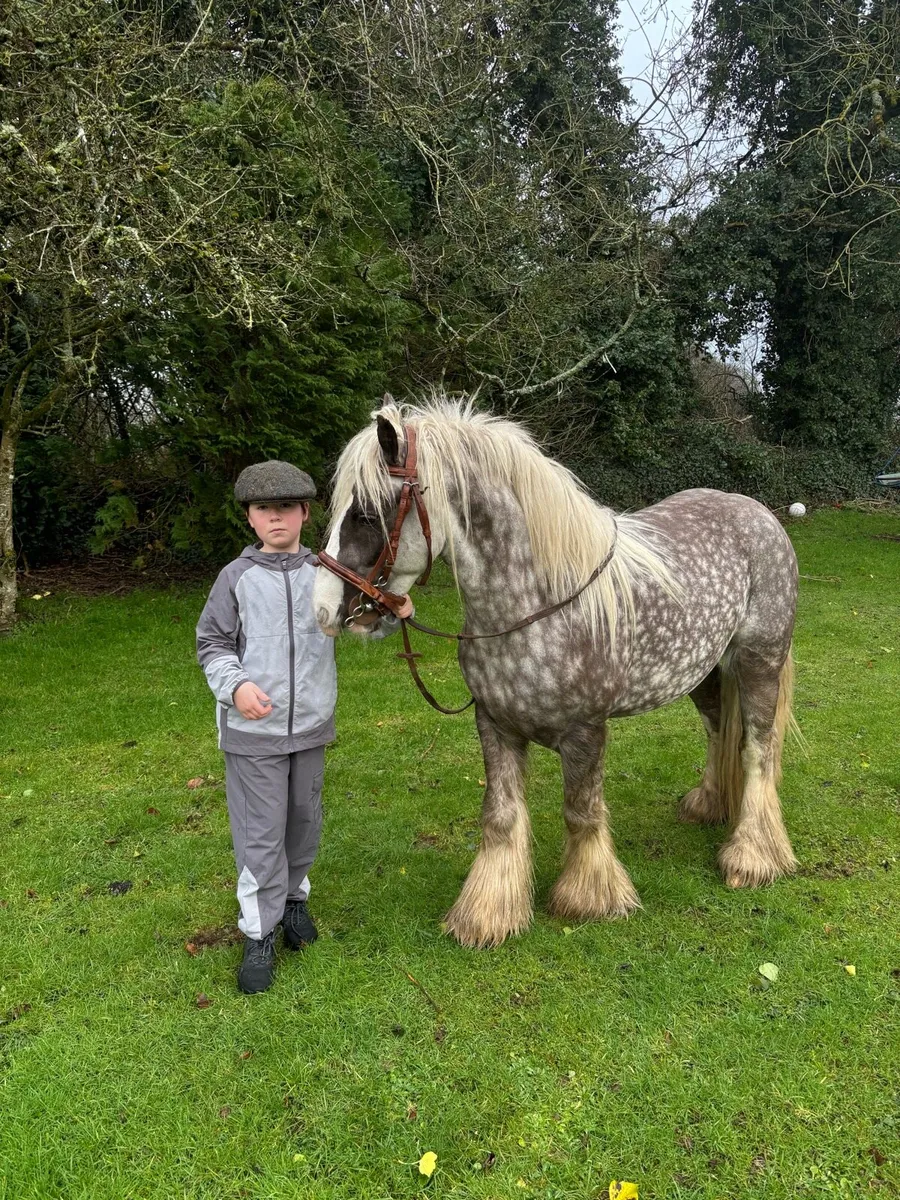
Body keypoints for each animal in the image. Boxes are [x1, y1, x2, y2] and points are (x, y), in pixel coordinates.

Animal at [312, 395, 799, 949]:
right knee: (720, 731)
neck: (535, 605)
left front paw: (590, 898)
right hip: (705, 673)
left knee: (758, 749)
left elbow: (581, 811)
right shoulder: (494, 725)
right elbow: (500, 816)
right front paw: (487, 913)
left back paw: (752, 857)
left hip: (760, 660)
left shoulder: (585, 731)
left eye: (367, 512)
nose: (324, 610)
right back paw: (710, 805)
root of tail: (760, 515)